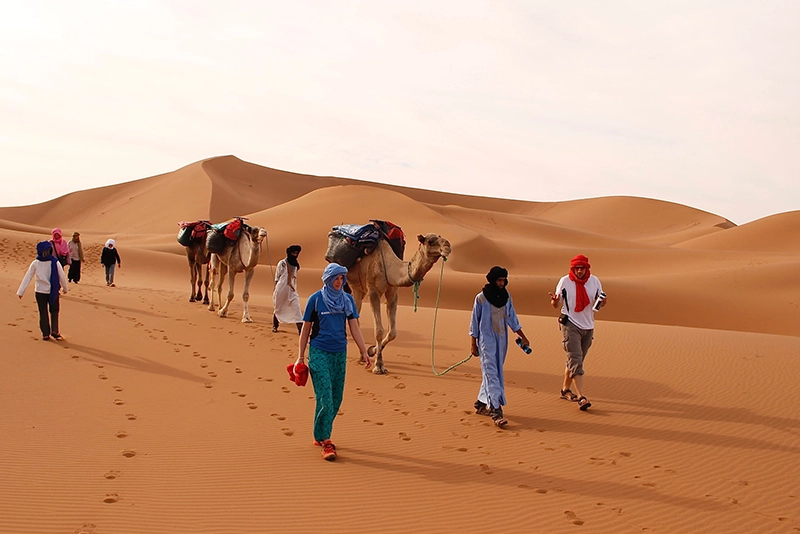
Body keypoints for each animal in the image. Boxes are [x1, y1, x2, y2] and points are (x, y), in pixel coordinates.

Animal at [348, 234, 454, 376]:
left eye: (441, 237)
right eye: (430, 241)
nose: (447, 246)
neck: (389, 268)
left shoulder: (392, 293)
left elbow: (393, 332)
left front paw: (372, 350)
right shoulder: (373, 292)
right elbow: (379, 331)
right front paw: (378, 366)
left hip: (358, 289)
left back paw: (362, 356)